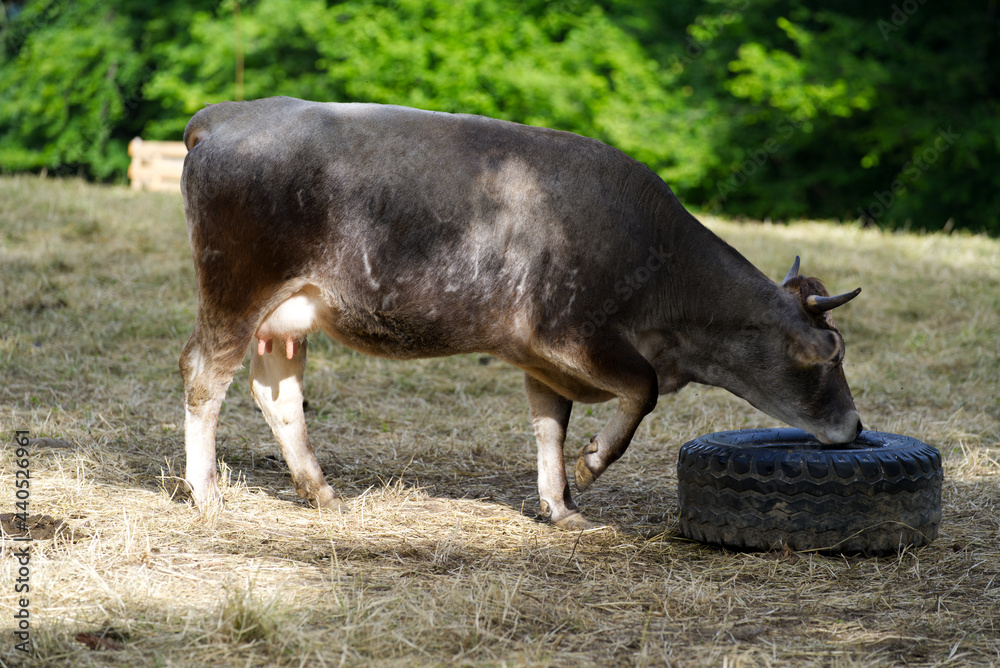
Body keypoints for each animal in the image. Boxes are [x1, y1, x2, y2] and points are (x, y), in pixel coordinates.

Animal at [178, 96, 860, 528]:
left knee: (278, 395)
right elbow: (640, 392)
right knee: (203, 377)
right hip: (237, 291)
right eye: (829, 356)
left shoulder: (541, 358)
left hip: (285, 318)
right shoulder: (569, 334)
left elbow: (548, 428)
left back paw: (320, 493)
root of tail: (229, 114)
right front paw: (591, 466)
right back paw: (206, 493)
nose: (855, 430)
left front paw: (560, 506)